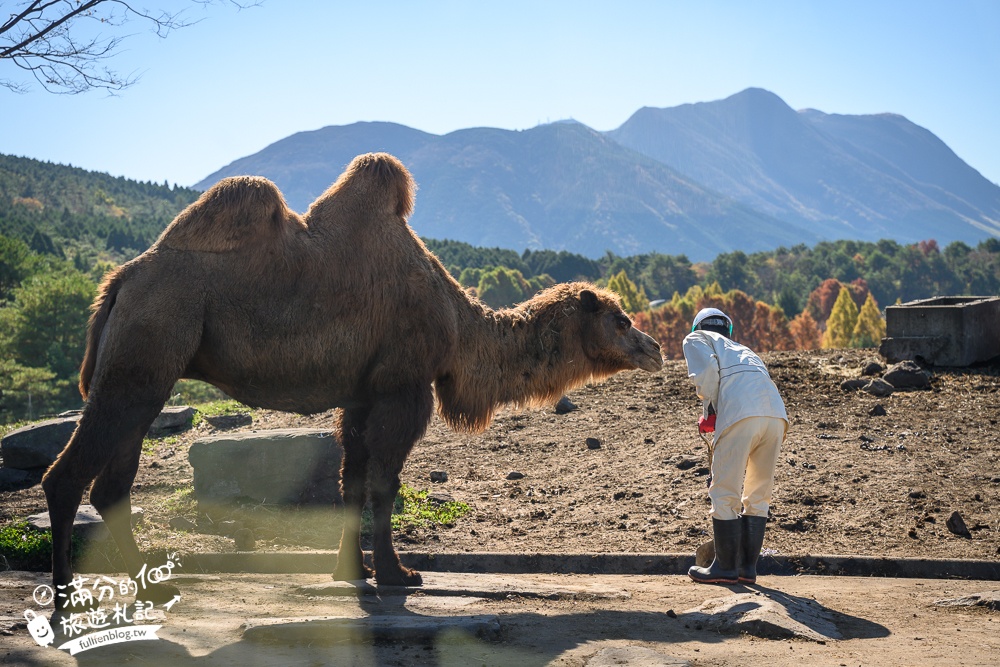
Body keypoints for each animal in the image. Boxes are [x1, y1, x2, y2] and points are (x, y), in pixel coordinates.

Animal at [43, 154, 664, 604]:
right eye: (620, 318)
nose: (655, 347)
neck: (457, 325)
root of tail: (119, 281)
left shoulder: (363, 393)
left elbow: (350, 482)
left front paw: (353, 572)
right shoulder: (403, 386)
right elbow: (383, 484)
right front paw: (398, 575)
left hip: (148, 365)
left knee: (114, 480)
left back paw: (149, 584)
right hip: (149, 340)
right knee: (70, 474)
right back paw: (66, 596)